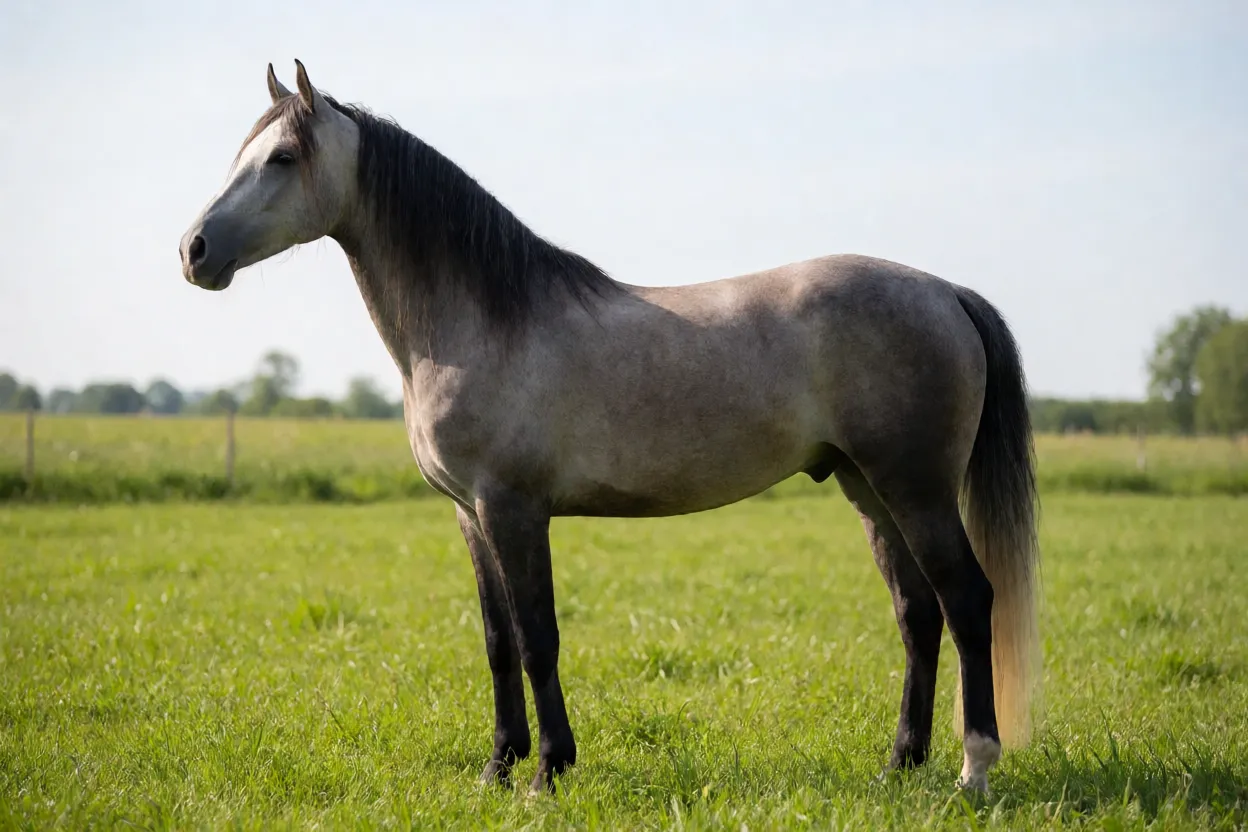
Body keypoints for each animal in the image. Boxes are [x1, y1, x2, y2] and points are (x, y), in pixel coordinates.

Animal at [179, 60, 1041, 796]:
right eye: (242, 152)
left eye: (282, 156)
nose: (194, 250)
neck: (484, 319)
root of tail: (945, 291)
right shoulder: (470, 515)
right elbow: (497, 643)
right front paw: (497, 768)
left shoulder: (513, 509)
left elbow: (538, 638)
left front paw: (546, 771)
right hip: (868, 488)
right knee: (917, 613)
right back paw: (899, 764)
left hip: (916, 488)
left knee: (967, 601)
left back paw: (975, 769)